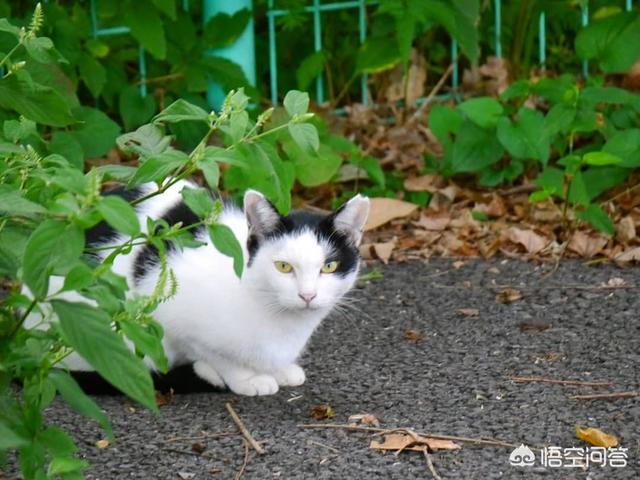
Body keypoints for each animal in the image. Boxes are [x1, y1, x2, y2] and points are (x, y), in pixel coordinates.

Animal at [31, 182, 370, 396]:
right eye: (284, 267)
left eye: (330, 266)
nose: (307, 295)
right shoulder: (172, 316)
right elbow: (215, 354)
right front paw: (246, 378)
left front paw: (281, 369)